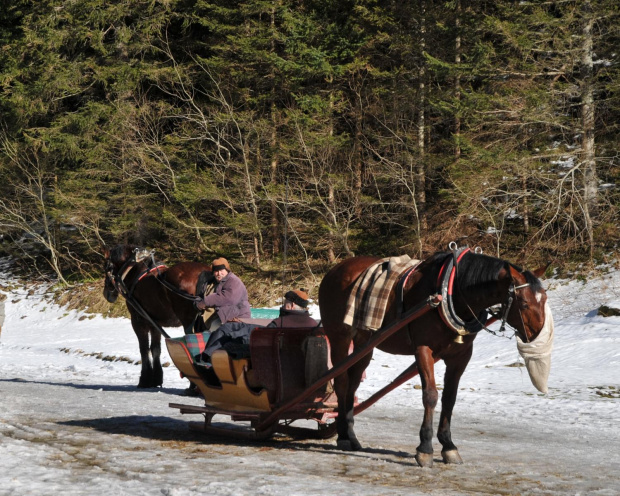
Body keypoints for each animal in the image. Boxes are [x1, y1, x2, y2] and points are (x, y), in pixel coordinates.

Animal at [100, 244, 209, 388]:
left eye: (106, 266)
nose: (107, 293)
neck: (134, 269)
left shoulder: (138, 321)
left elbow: (144, 349)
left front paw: (144, 379)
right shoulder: (154, 323)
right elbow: (155, 349)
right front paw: (156, 378)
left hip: (188, 322)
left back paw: (193, 385)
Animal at [320, 250, 552, 466]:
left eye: (544, 299)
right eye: (523, 303)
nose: (536, 335)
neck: (453, 292)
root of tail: (334, 270)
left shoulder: (460, 356)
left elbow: (449, 398)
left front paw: (448, 445)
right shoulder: (424, 350)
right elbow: (430, 395)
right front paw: (425, 448)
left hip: (364, 343)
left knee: (353, 384)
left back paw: (349, 434)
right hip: (339, 337)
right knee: (341, 382)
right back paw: (343, 436)